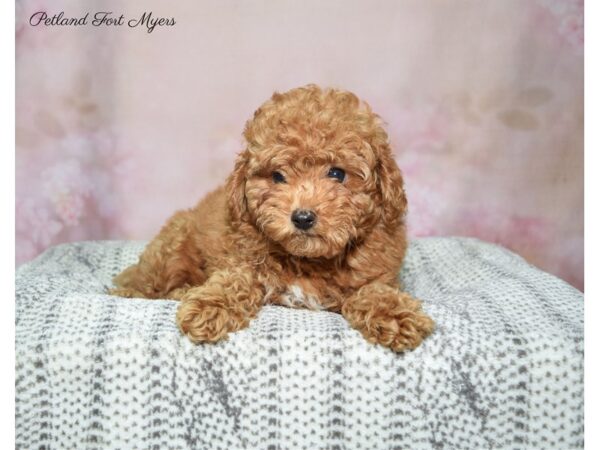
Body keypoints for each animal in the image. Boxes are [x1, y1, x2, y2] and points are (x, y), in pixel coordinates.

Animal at [110, 84, 434, 352]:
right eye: (278, 176)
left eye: (337, 173)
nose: (302, 217)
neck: (309, 261)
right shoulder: (241, 258)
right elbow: (234, 280)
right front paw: (209, 307)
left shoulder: (377, 271)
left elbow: (375, 290)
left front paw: (396, 316)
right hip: (172, 245)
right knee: (141, 285)